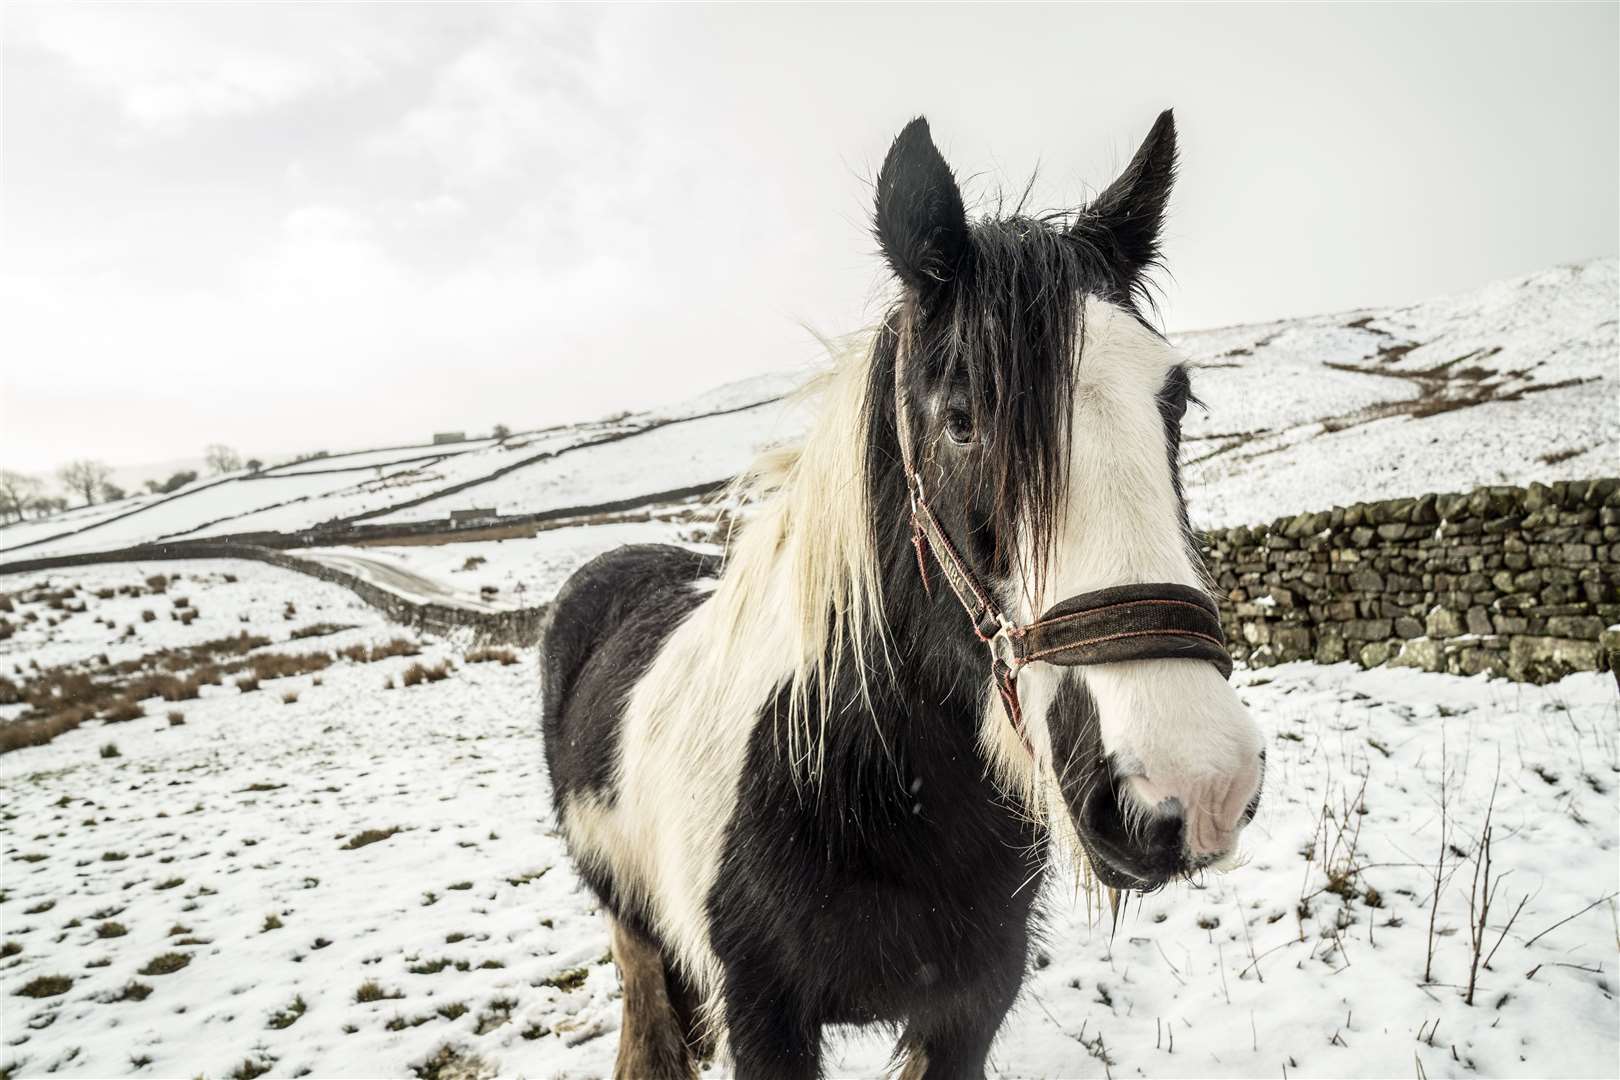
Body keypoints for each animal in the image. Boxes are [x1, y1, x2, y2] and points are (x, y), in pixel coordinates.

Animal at [544, 111, 1263, 1080]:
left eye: (1176, 401)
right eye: (960, 419)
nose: (1195, 784)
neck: (868, 781)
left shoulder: (971, 1008)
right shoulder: (763, 1019)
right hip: (632, 925)